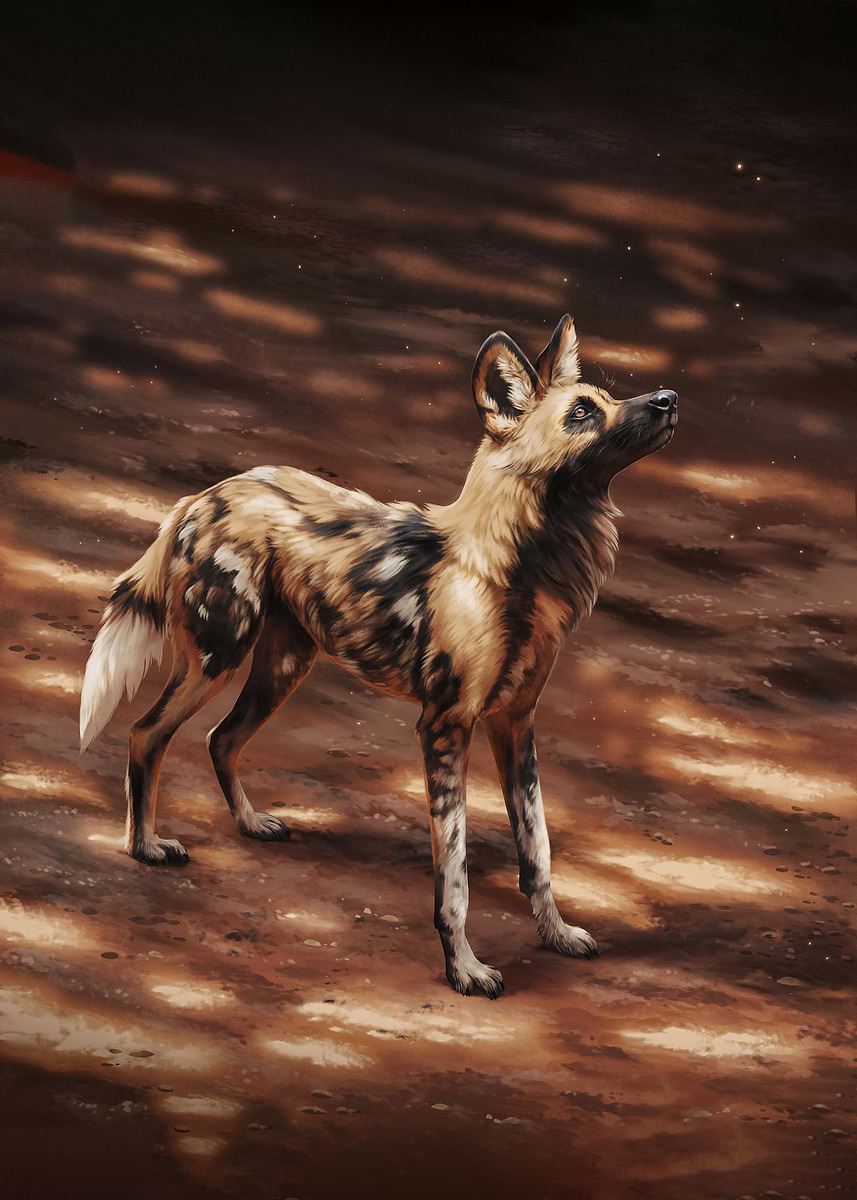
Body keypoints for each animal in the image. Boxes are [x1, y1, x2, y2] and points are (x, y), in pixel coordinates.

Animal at [80, 314, 677, 997]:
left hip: (282, 669)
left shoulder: (515, 725)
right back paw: (145, 847)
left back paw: (250, 824)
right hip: (217, 660)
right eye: (582, 413)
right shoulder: (445, 728)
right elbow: (456, 878)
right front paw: (465, 970)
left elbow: (539, 851)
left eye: (609, 399)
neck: (522, 566)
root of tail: (203, 495)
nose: (668, 399)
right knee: (146, 733)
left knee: (220, 739)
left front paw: (555, 935)